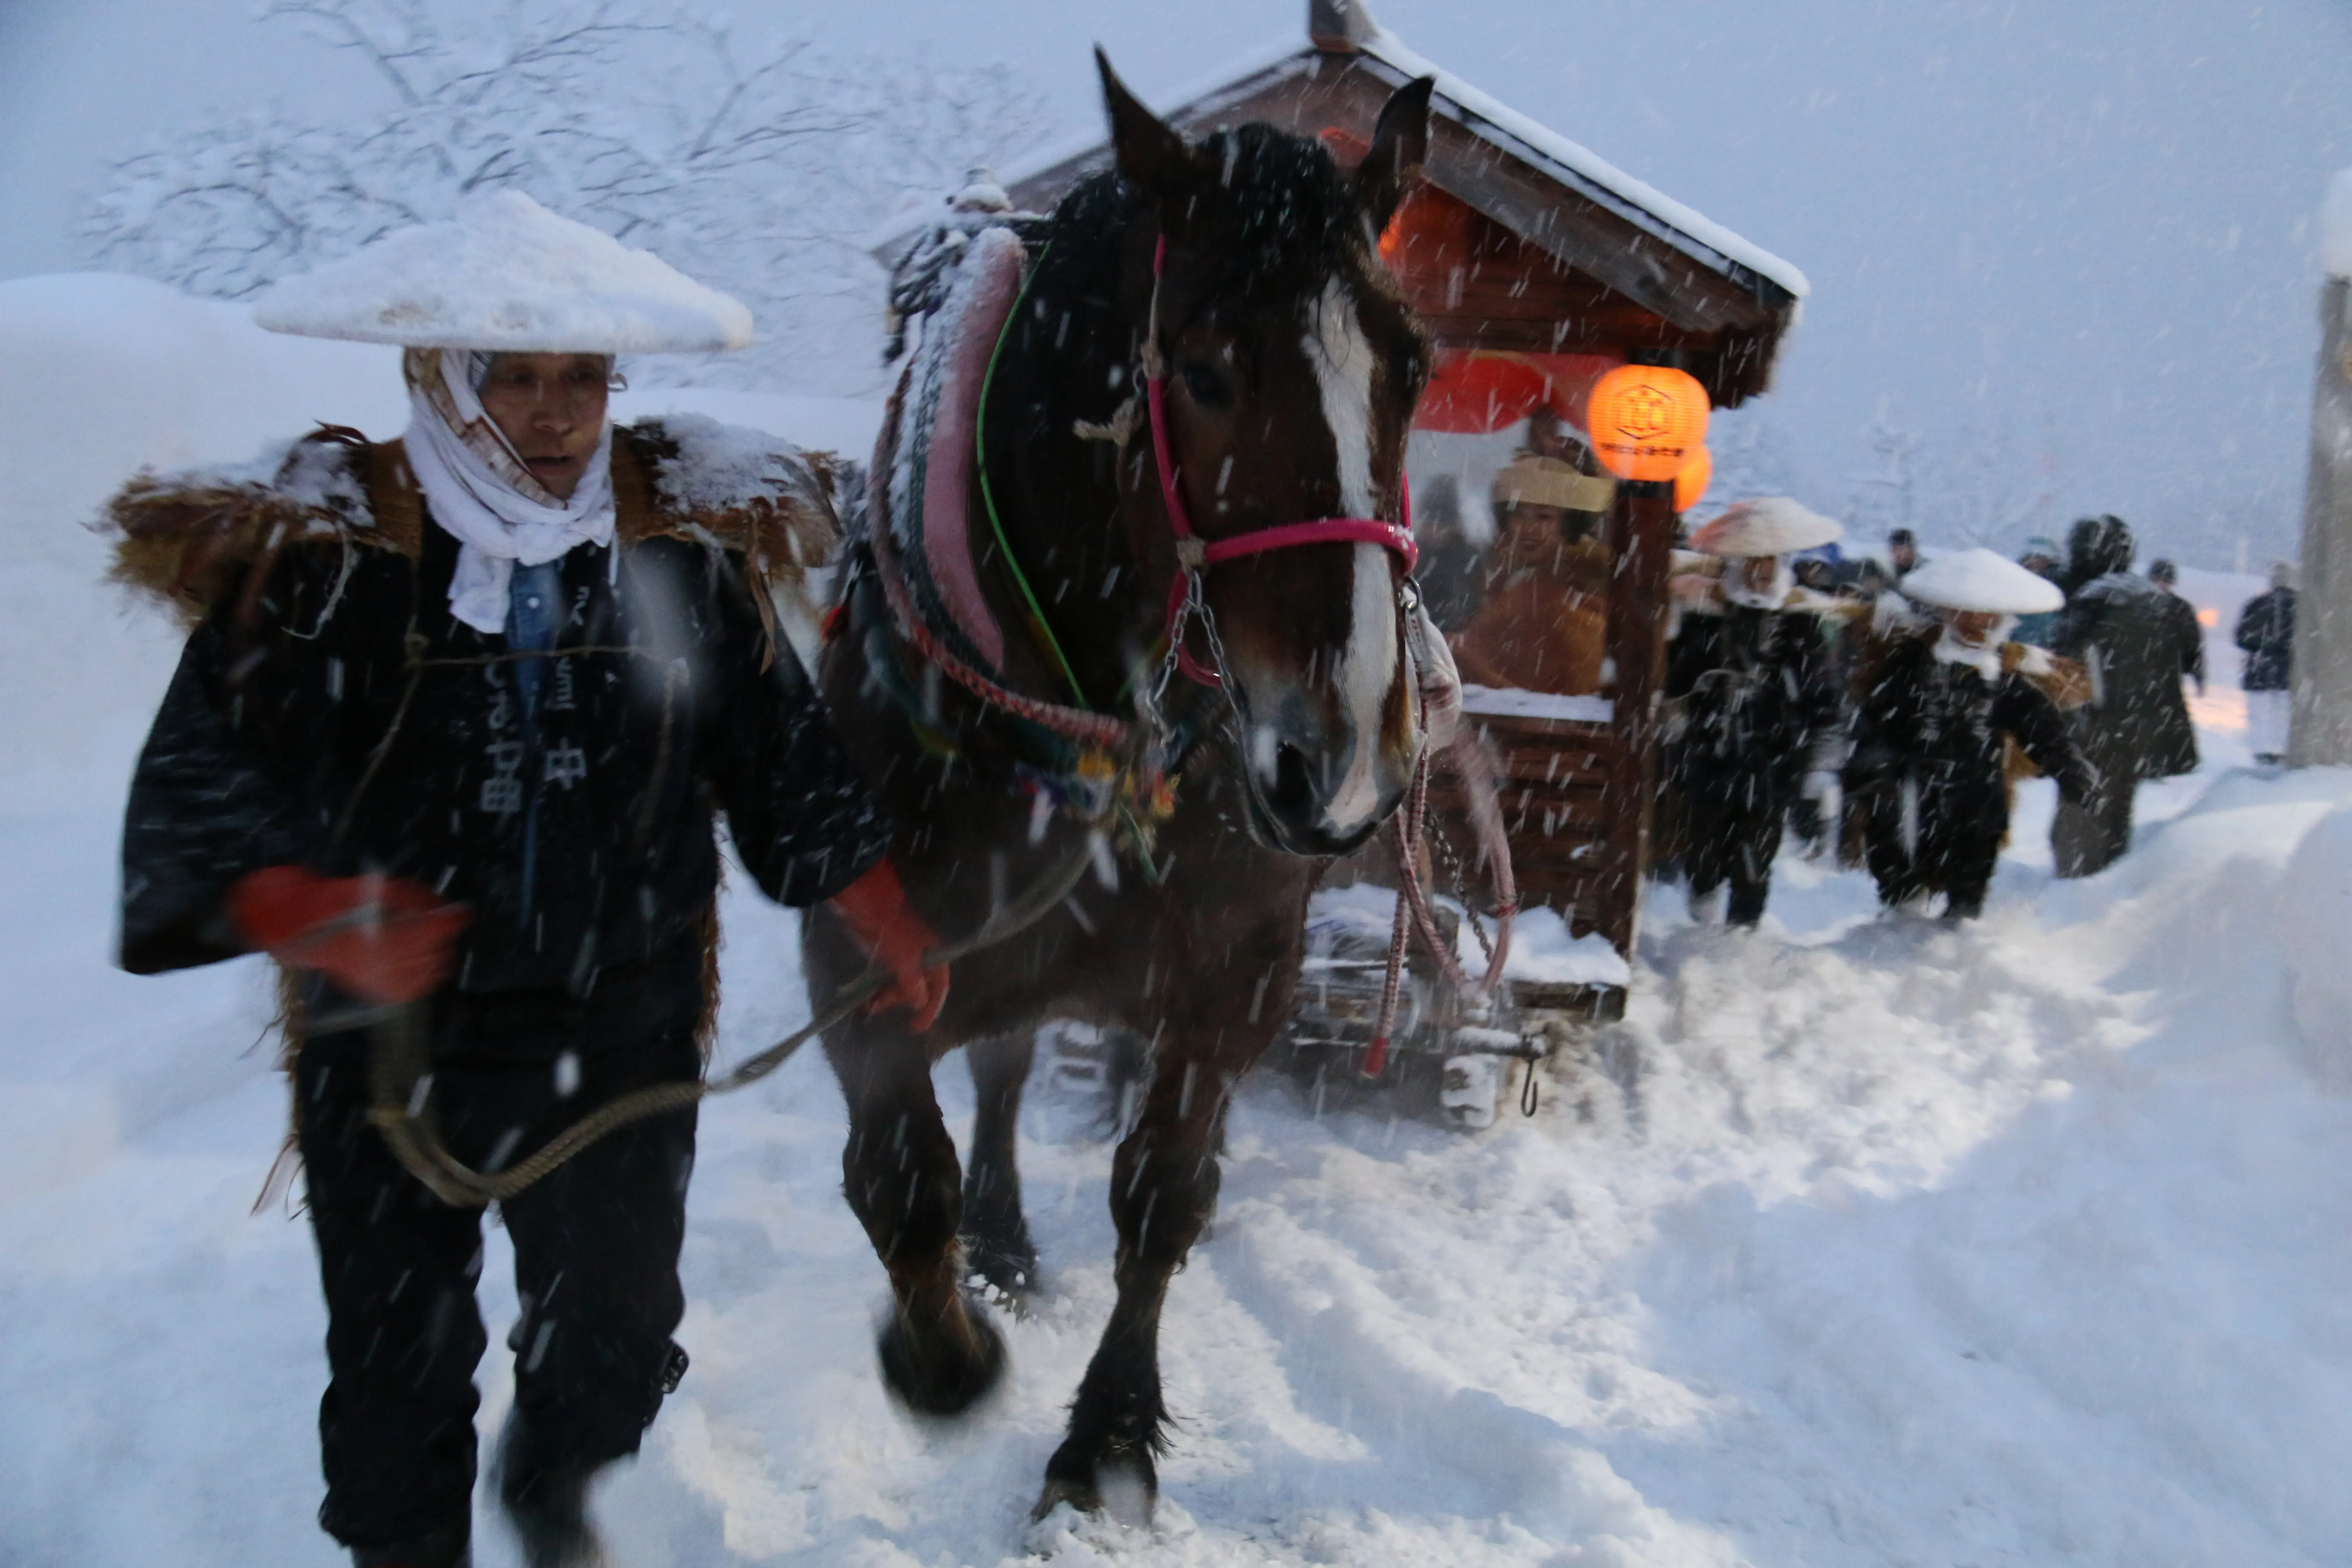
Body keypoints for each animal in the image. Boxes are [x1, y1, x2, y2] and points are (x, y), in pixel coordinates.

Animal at [804, 58, 1430, 1523]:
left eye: (1416, 367)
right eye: (1202, 371)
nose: (1341, 759)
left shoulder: (1235, 968)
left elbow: (1162, 1195)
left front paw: (1106, 1440)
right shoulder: (866, 949)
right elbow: (900, 1180)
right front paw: (946, 1349)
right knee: (995, 1074)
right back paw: (997, 1244)